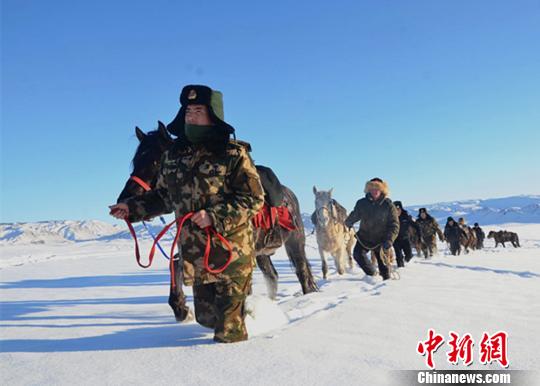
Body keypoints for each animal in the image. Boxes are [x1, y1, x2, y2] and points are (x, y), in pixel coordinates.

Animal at [116, 122, 318, 322]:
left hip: (295, 243)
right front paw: (181, 308)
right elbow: (176, 264)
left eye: (156, 162)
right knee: (272, 276)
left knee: (302, 273)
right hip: (262, 254)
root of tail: (290, 196)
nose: (124, 198)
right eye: (135, 161)